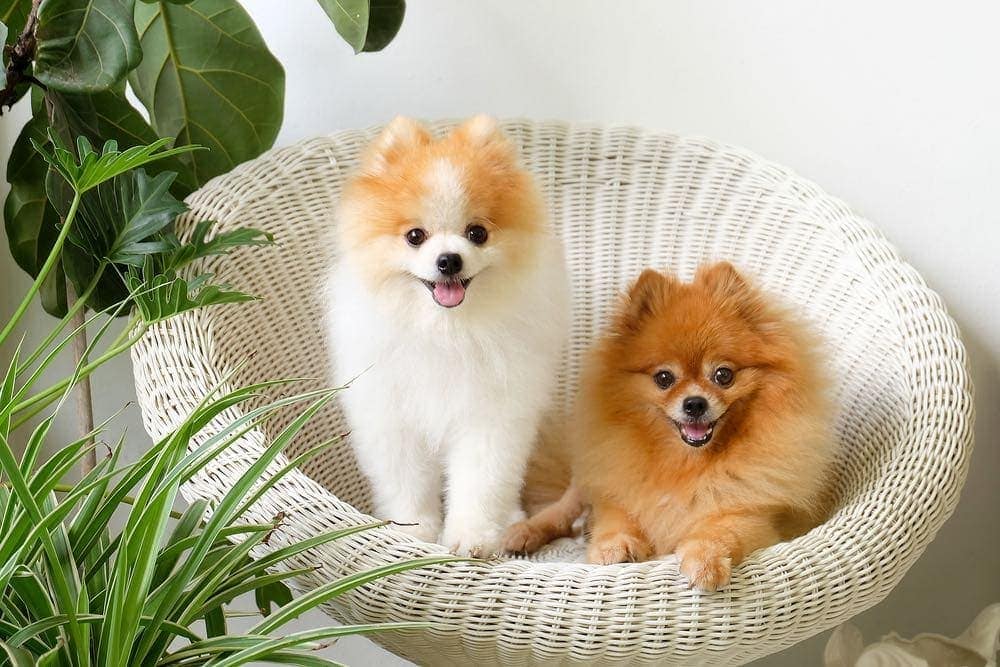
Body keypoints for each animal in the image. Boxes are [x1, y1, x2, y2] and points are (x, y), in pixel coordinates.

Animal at [324, 116, 568, 560]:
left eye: (477, 233)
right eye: (415, 236)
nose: (449, 260)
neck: (445, 331)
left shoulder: (490, 416)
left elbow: (481, 482)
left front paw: (473, 535)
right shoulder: (393, 415)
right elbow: (406, 482)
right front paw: (413, 532)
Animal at [504, 264, 832, 592]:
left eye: (723, 375)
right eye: (664, 378)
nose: (695, 403)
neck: (682, 462)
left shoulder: (749, 510)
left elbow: (721, 531)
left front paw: (705, 560)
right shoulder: (616, 490)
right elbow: (617, 519)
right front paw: (612, 546)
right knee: (561, 510)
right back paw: (524, 532)